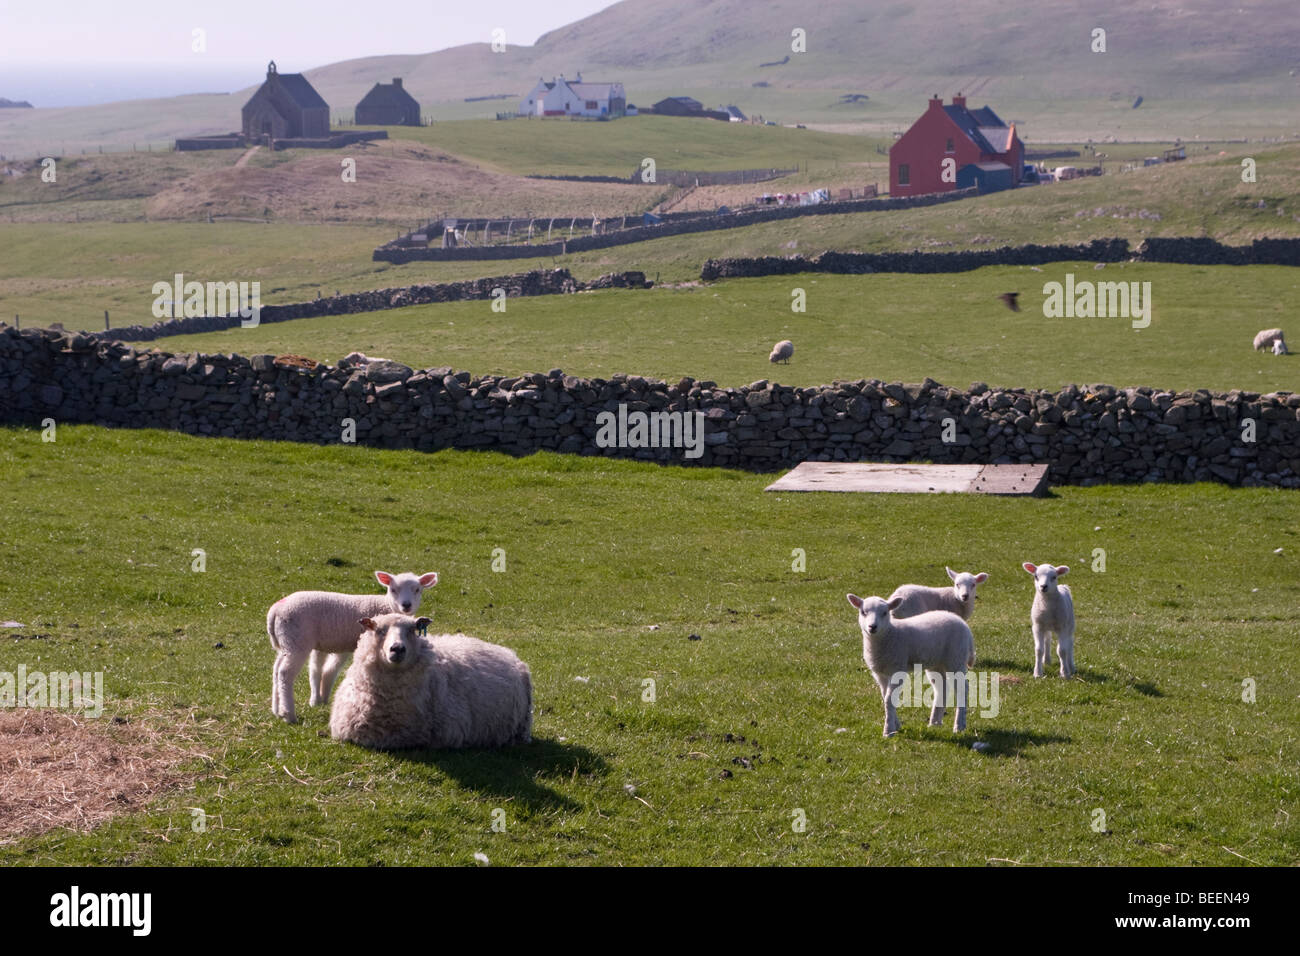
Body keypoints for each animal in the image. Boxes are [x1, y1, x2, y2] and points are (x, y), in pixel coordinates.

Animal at [267, 570, 437, 723]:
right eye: (393, 589)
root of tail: (275, 610)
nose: (406, 605)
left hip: (286, 642)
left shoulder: (339, 644)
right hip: (297, 641)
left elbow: (327, 670)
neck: (386, 606)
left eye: (417, 589)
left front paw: (322, 698)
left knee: (276, 669)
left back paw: (276, 710)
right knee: (285, 673)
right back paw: (289, 714)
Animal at [846, 593, 976, 737]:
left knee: (963, 689)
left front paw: (888, 730)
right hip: (936, 663)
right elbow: (885, 697)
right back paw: (935, 722)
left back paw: (959, 726)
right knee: (941, 688)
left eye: (885, 612)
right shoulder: (880, 673)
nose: (872, 627)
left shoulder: (897, 668)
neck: (890, 634)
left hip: (956, 657)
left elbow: (889, 699)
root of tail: (964, 626)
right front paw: (895, 725)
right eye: (863, 612)